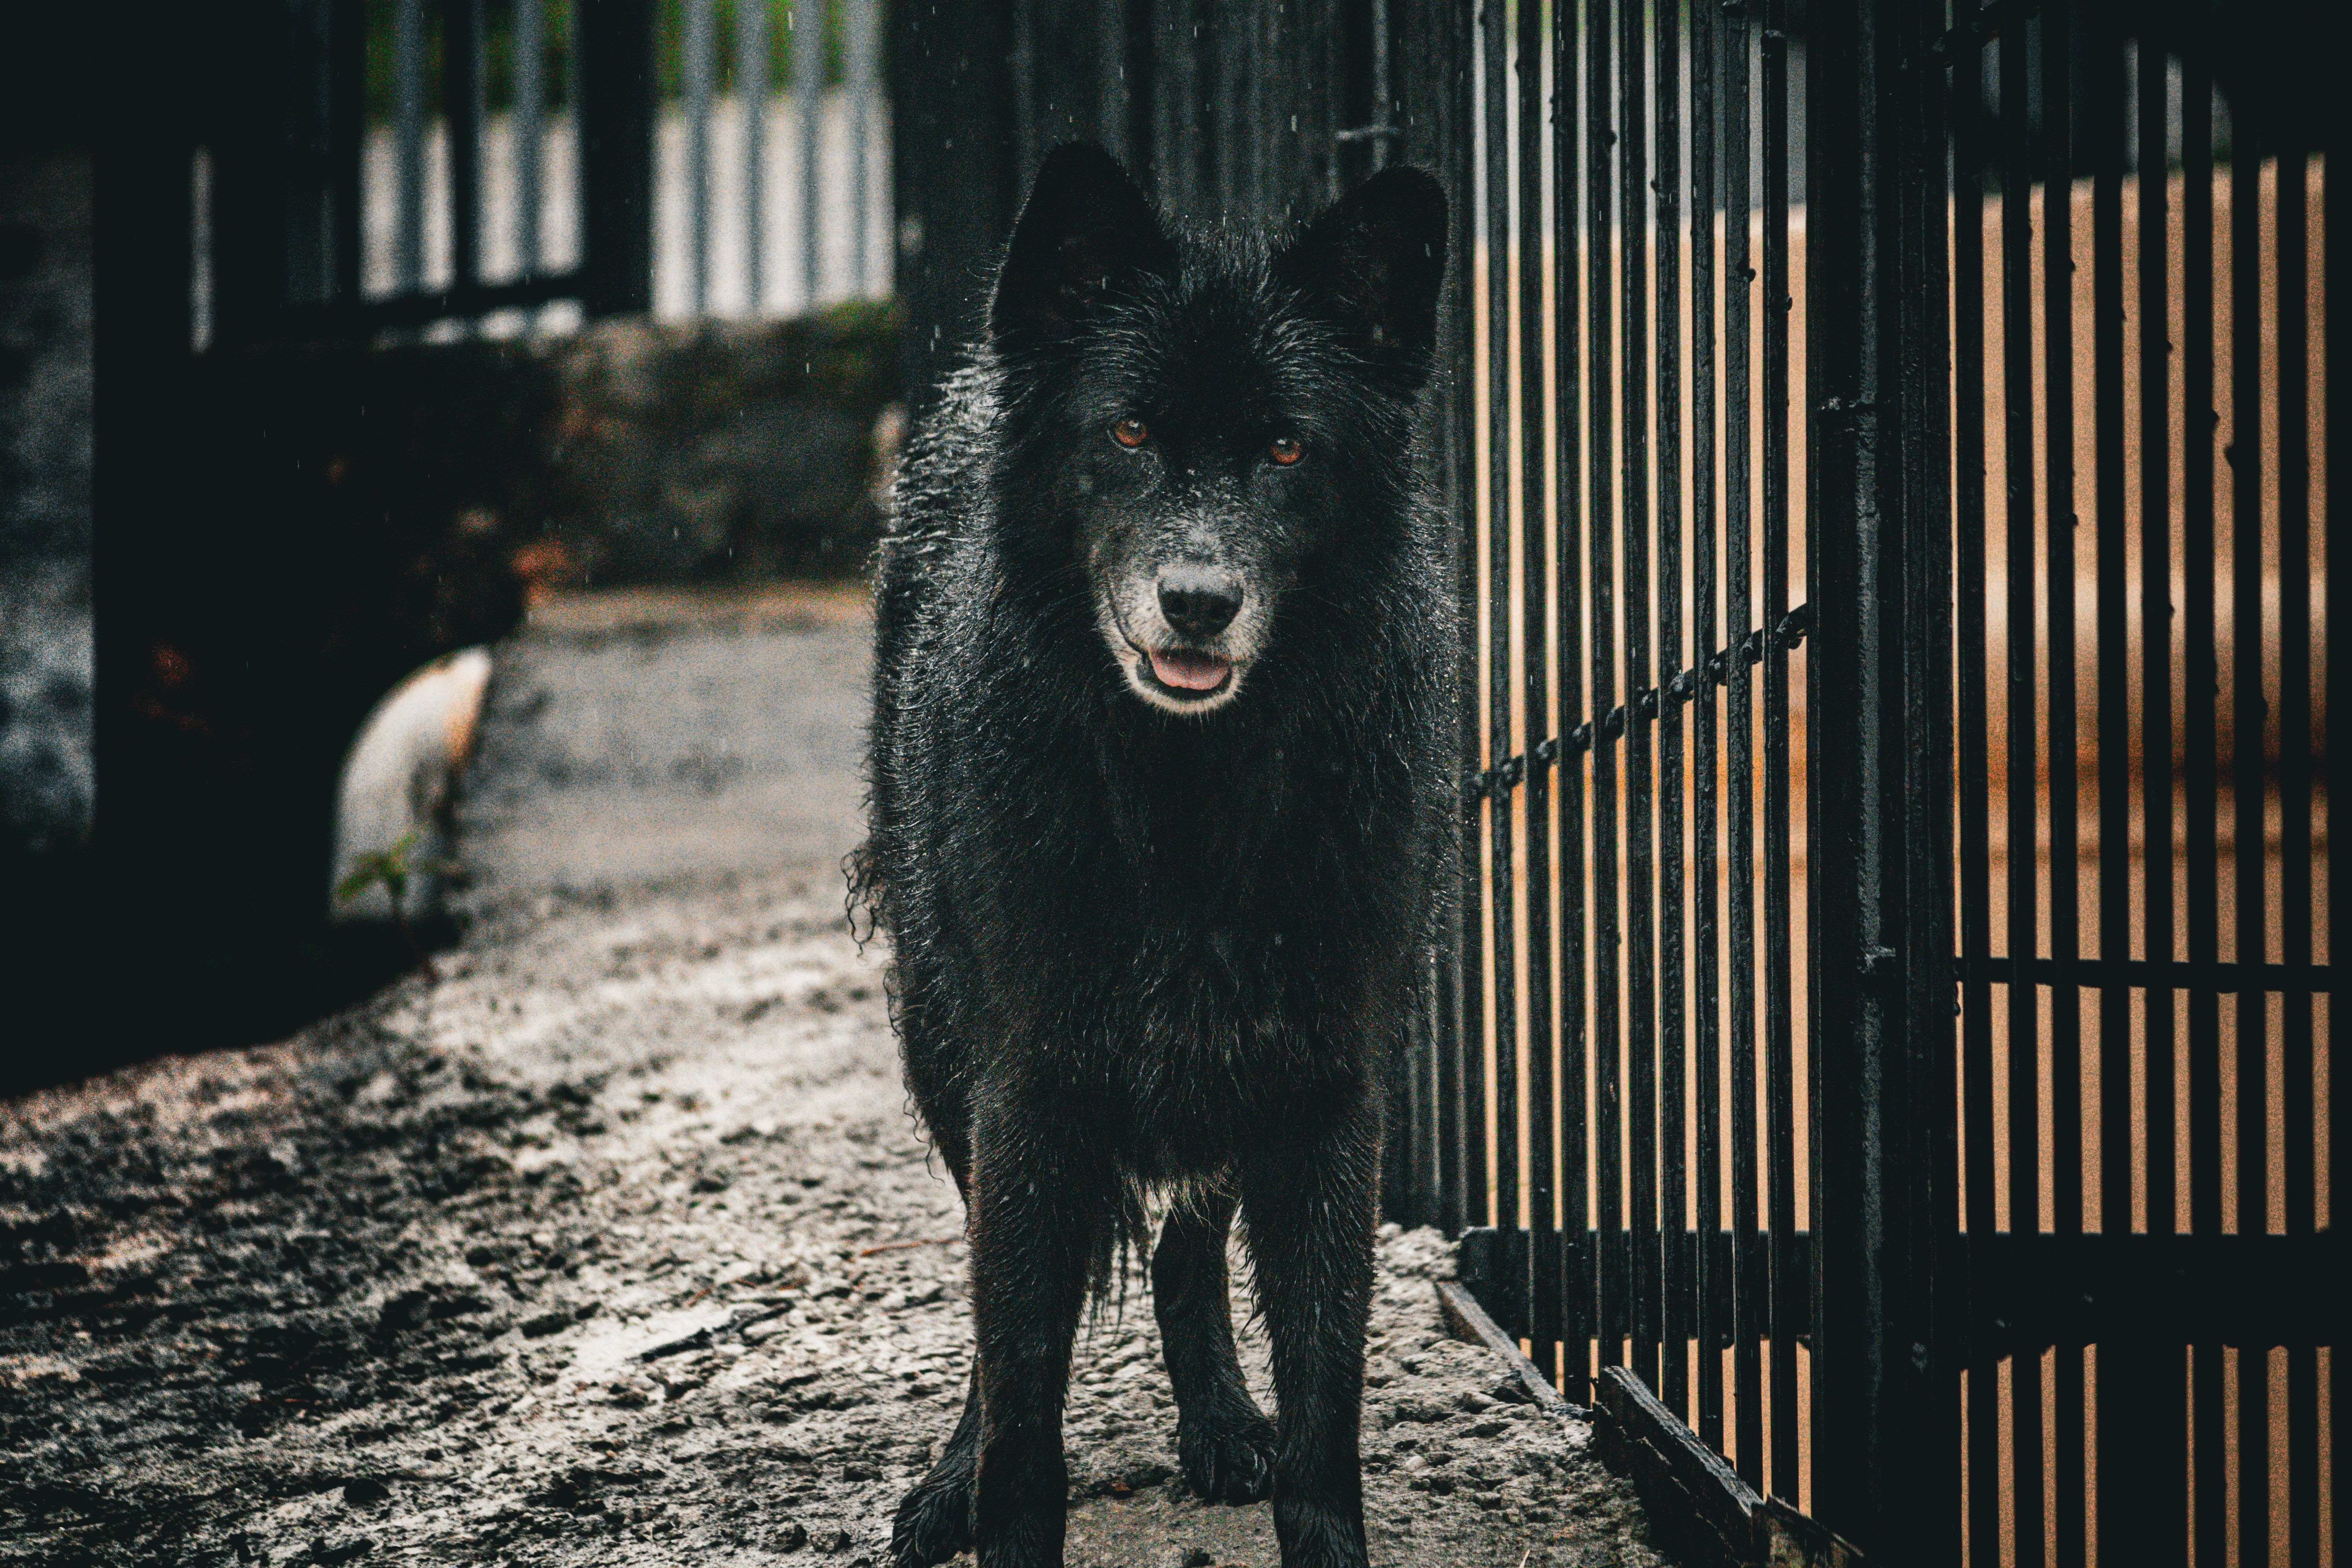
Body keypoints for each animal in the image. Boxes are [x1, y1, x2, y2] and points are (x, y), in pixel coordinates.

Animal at [854, 143, 1452, 1568]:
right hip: (945, 1054)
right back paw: (947, 1481)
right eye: (1128, 435)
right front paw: (989, 1501)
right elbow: (1023, 1405)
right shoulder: (1029, 1094)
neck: (1188, 800)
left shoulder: (1322, 1096)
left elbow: (1326, 1416)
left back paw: (1222, 1419)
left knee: (1187, 1246)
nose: (1198, 602)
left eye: (1286, 446)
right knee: (1000, 1324)